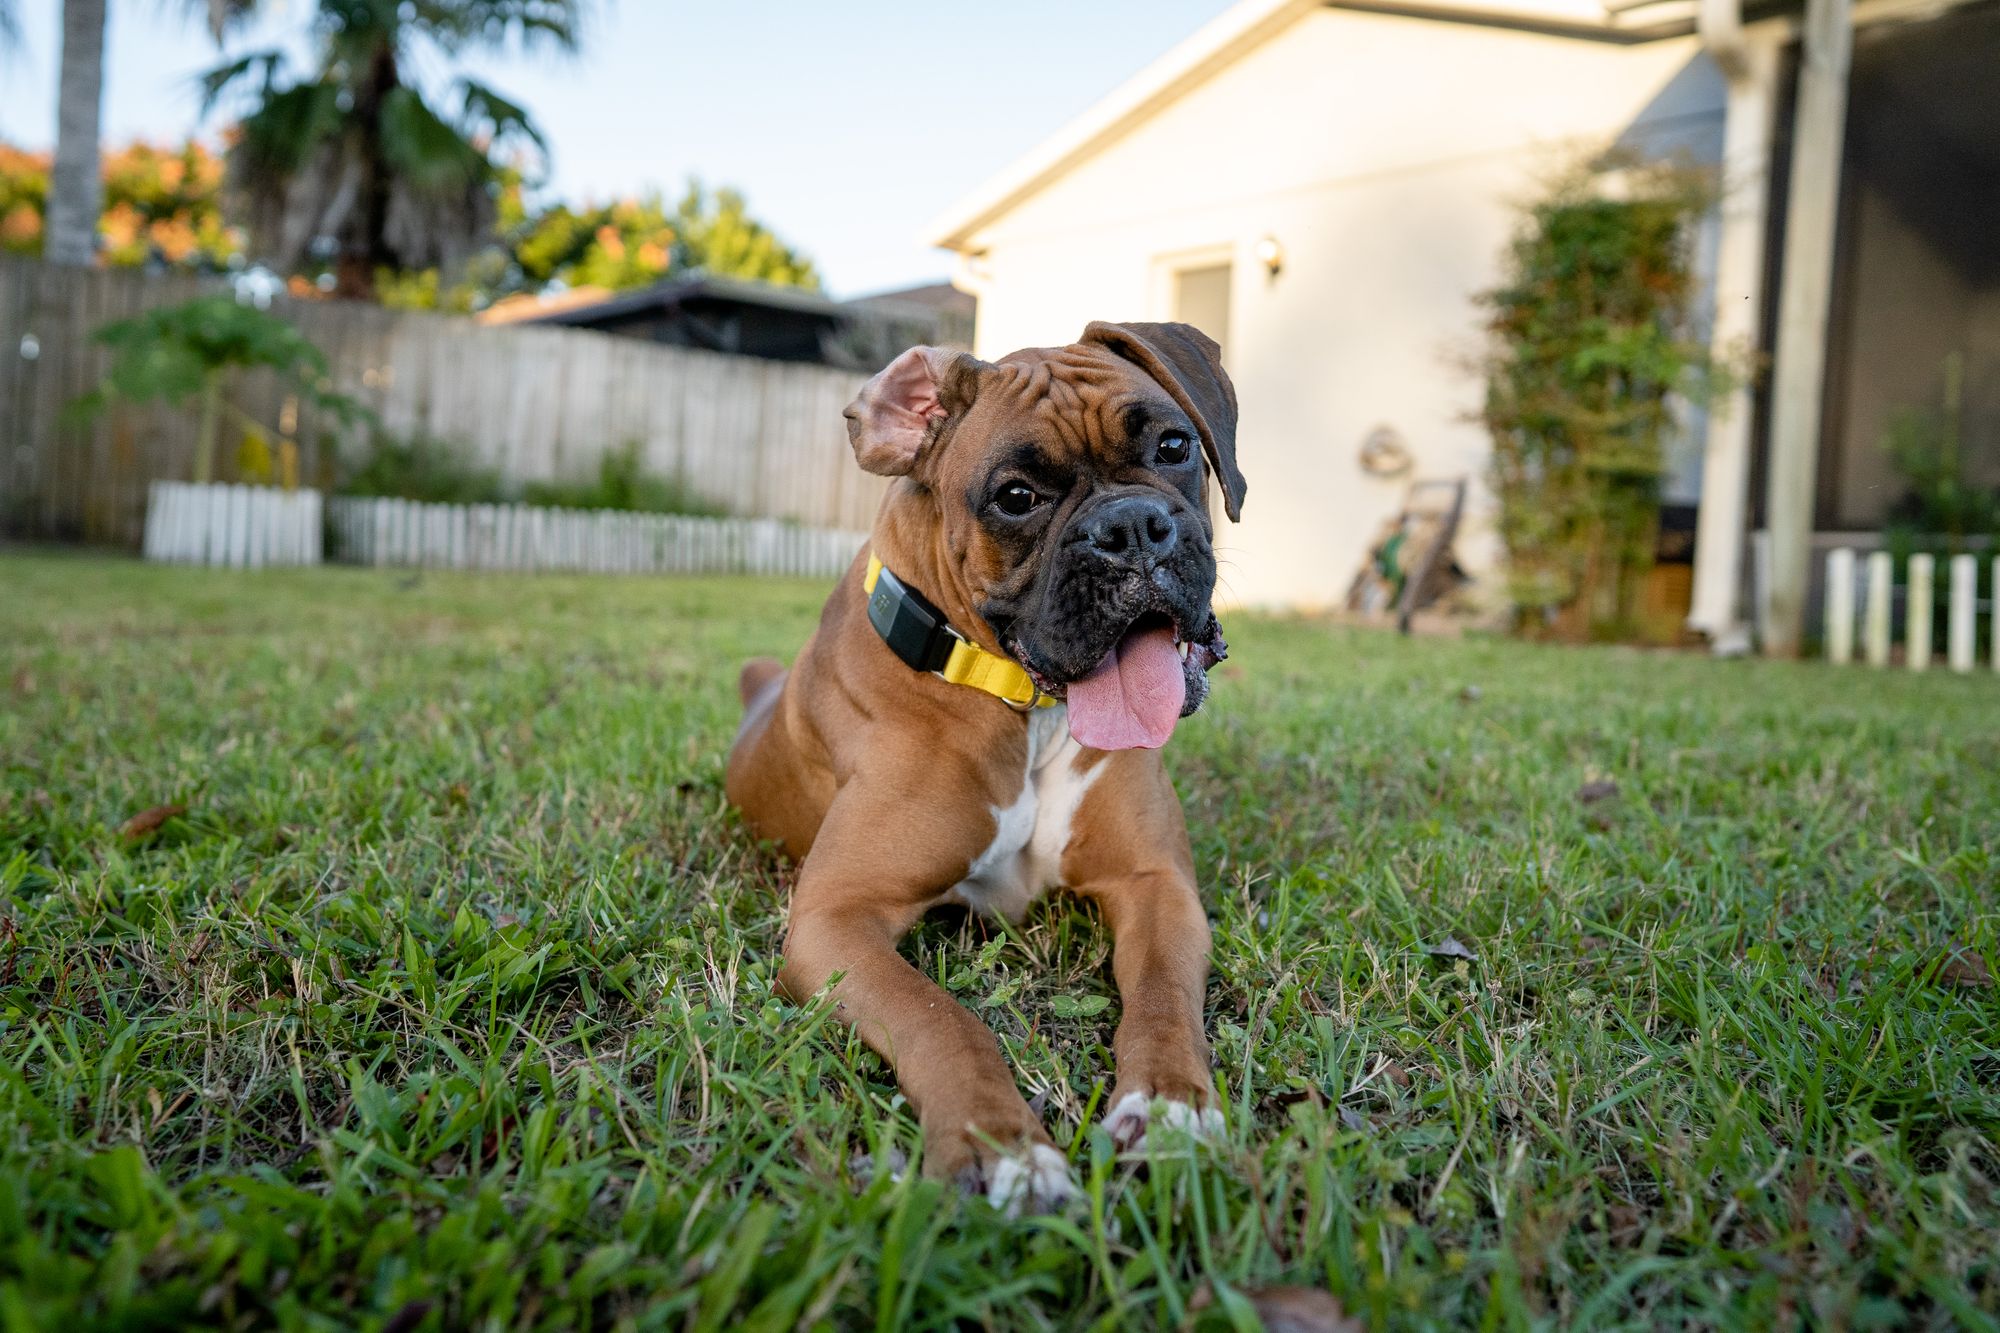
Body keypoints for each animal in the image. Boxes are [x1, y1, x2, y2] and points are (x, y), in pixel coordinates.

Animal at [728, 324, 1240, 1216]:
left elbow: (1162, 995)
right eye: (1016, 496)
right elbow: (941, 1017)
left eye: (1174, 447)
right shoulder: (835, 918)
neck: (1021, 707)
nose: (1133, 526)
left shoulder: (1156, 887)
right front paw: (999, 1148)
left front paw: (1172, 1100)